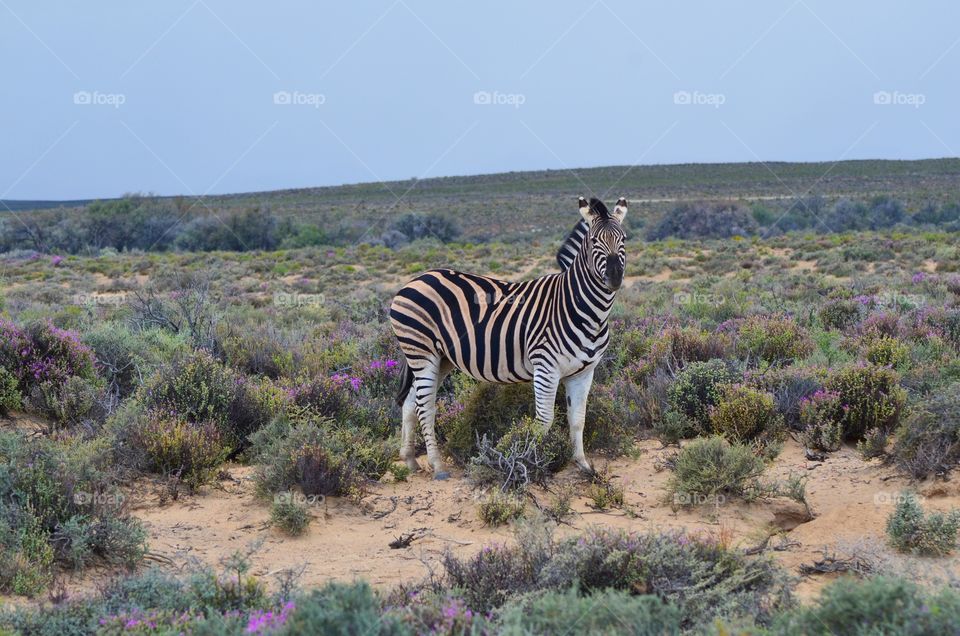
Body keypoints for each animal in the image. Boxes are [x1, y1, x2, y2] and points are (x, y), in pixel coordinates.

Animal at [390, 196, 632, 480]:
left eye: (623, 239)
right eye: (594, 240)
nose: (614, 277)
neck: (581, 308)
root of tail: (415, 279)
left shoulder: (584, 372)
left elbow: (578, 419)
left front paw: (583, 465)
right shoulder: (546, 367)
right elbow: (544, 420)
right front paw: (534, 465)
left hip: (441, 358)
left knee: (410, 402)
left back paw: (409, 460)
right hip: (421, 351)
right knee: (425, 405)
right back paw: (437, 466)